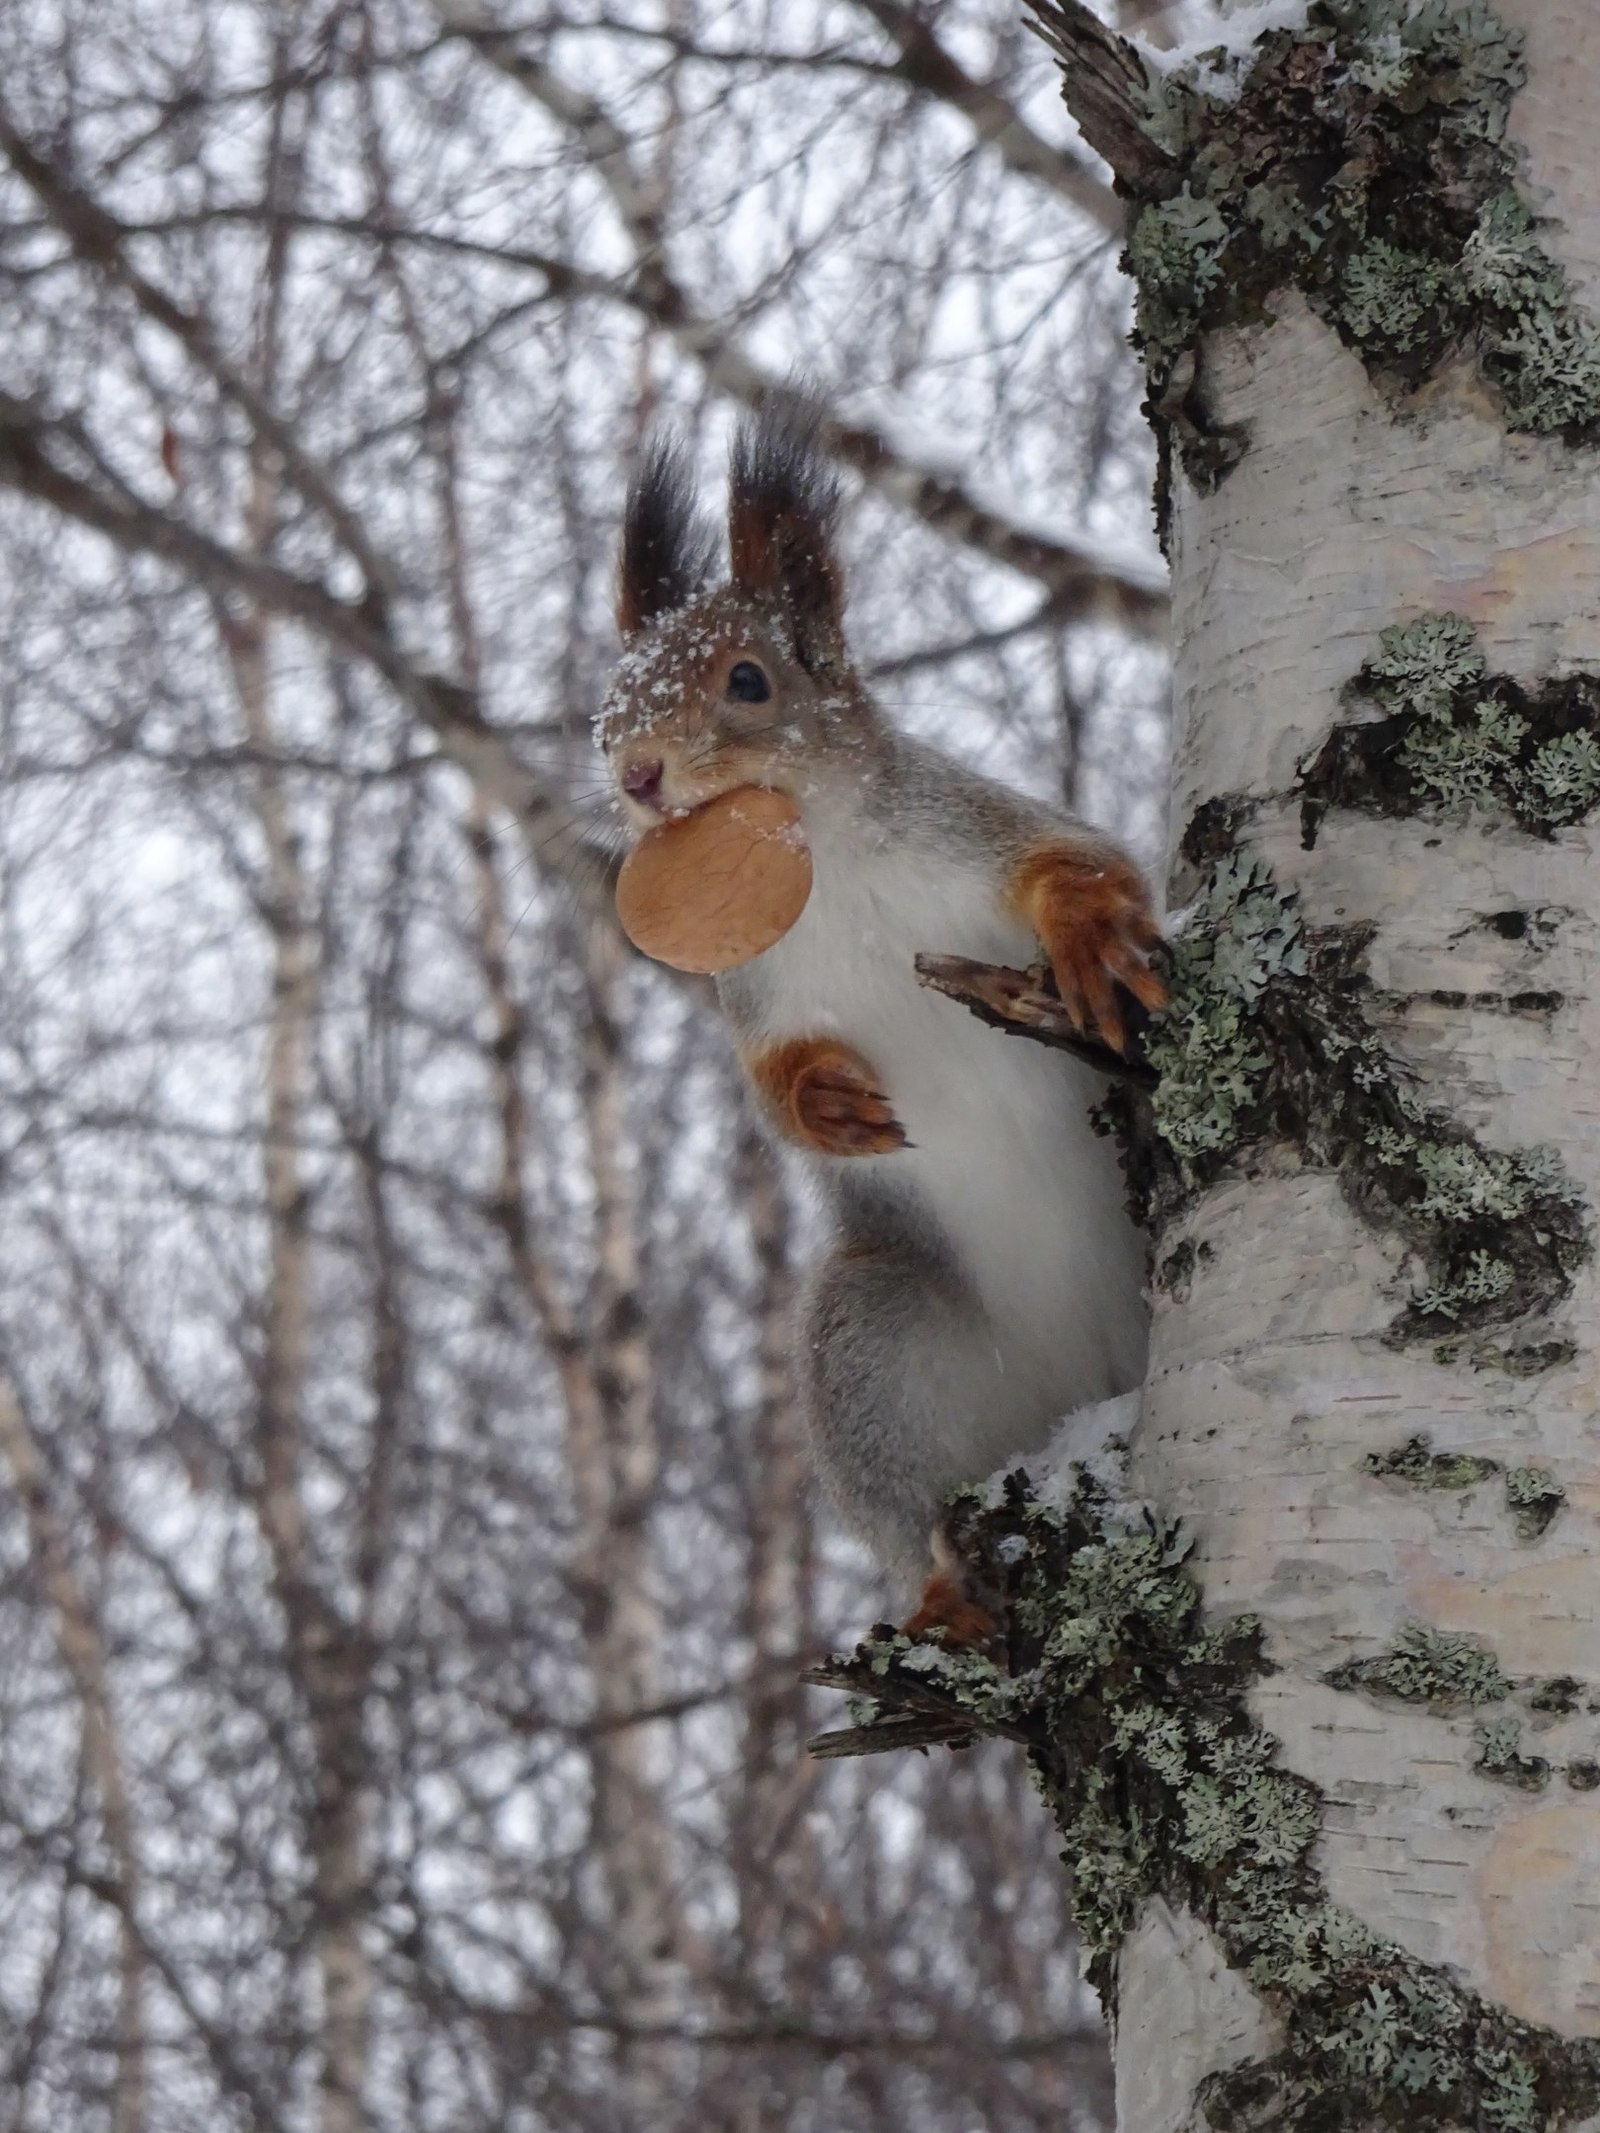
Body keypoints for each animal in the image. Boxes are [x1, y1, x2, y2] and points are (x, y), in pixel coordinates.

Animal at [597, 396, 1169, 1629]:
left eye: (750, 681)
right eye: (608, 700)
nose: (635, 774)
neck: (822, 858)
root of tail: (1085, 1384)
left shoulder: (970, 824)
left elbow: (1078, 859)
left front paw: (1090, 938)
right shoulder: (752, 990)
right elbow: (767, 1085)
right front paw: (827, 1104)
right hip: (877, 1341)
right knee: (912, 1503)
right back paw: (946, 1593)